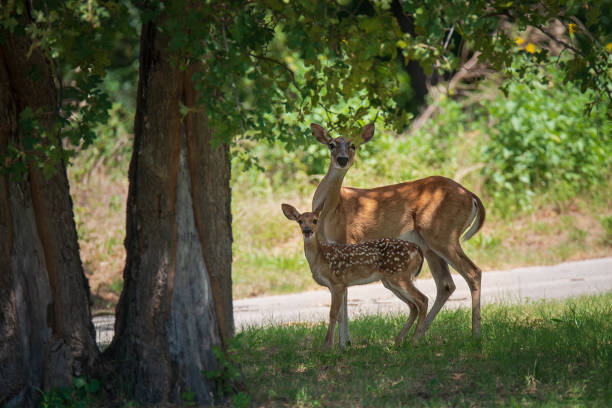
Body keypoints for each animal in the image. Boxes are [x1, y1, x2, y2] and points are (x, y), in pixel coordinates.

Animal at [282, 203, 426, 348]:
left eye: (315, 220)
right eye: (300, 221)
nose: (307, 230)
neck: (321, 258)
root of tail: (417, 248)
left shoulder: (337, 283)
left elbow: (333, 314)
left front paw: (327, 346)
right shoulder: (337, 286)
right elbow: (340, 316)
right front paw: (342, 347)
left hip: (401, 276)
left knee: (422, 300)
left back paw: (414, 340)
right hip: (390, 281)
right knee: (413, 306)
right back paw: (399, 340)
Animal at [314, 122, 486, 346]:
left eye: (353, 145)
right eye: (331, 144)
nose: (342, 160)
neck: (331, 212)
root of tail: (471, 196)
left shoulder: (349, 241)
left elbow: (343, 294)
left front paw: (344, 343)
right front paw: (345, 343)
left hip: (443, 234)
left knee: (473, 272)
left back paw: (475, 333)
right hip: (428, 244)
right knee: (446, 284)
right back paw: (416, 336)